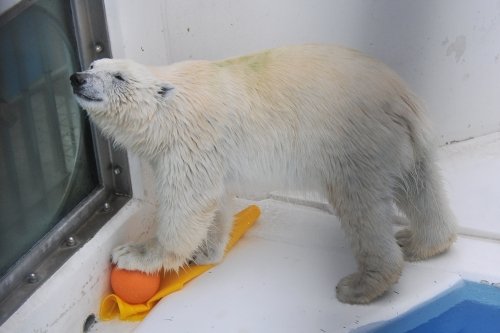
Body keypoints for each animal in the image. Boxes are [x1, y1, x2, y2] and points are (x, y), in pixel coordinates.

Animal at [70, 44, 458, 304]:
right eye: (92, 62)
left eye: (119, 76)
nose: (77, 78)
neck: (170, 106)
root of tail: (404, 97)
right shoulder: (208, 154)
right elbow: (215, 201)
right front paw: (205, 252)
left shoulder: (191, 142)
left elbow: (188, 204)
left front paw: (135, 254)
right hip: (400, 141)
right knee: (420, 185)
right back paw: (422, 241)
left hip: (357, 140)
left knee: (361, 207)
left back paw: (360, 285)